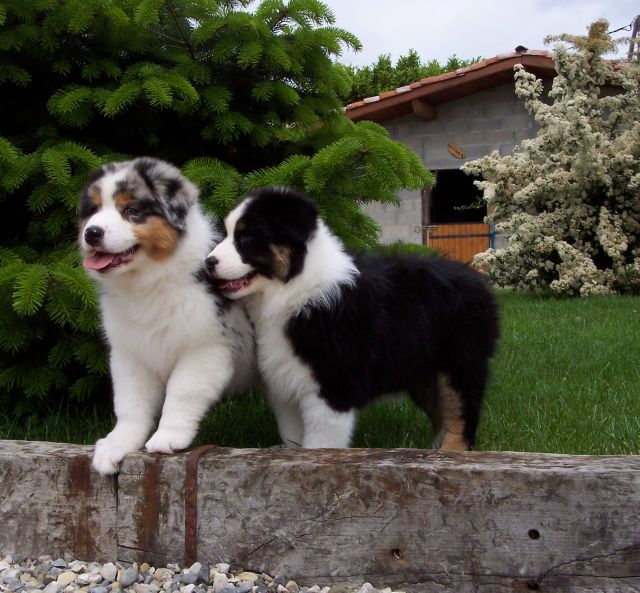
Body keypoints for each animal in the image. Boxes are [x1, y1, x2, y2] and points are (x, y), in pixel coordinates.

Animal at [77, 156, 252, 472]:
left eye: (131, 210)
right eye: (93, 210)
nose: (91, 233)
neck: (149, 279)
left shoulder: (206, 347)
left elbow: (181, 393)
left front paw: (167, 438)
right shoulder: (131, 352)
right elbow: (130, 402)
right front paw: (116, 444)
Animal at [205, 188, 500, 448]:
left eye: (249, 235)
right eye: (227, 233)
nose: (208, 262)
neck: (293, 289)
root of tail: (477, 280)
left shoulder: (333, 387)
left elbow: (320, 444)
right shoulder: (287, 383)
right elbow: (293, 438)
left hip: (461, 364)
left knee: (461, 421)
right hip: (422, 370)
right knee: (443, 417)